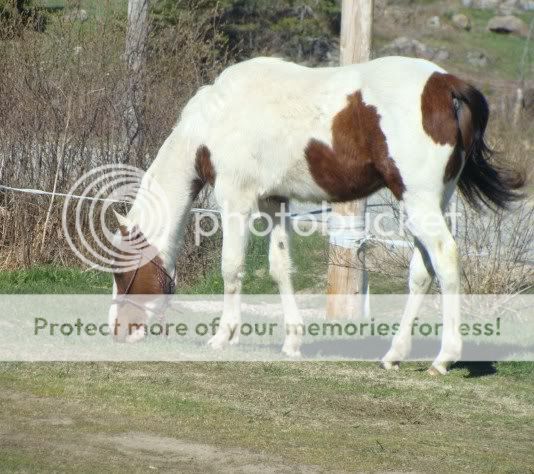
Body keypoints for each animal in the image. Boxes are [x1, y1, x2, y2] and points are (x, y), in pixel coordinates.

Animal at [109, 55, 524, 374]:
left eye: (123, 274)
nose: (118, 331)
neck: (216, 118)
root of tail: (447, 85)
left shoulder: (235, 200)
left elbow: (232, 268)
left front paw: (222, 337)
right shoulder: (274, 202)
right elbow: (280, 268)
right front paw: (292, 343)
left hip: (420, 201)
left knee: (446, 258)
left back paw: (444, 358)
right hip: (432, 201)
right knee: (422, 272)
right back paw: (394, 354)